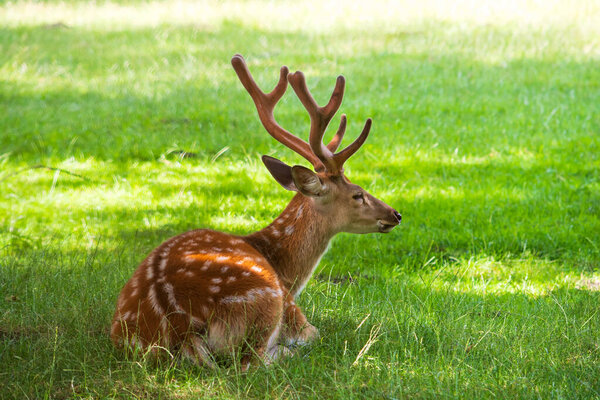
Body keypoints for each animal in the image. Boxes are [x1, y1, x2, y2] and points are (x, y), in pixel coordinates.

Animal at [111, 54, 404, 370]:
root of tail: (179, 327)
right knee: (251, 362)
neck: (286, 271)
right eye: (357, 194)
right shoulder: (293, 310)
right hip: (266, 301)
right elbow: (315, 332)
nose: (395, 214)